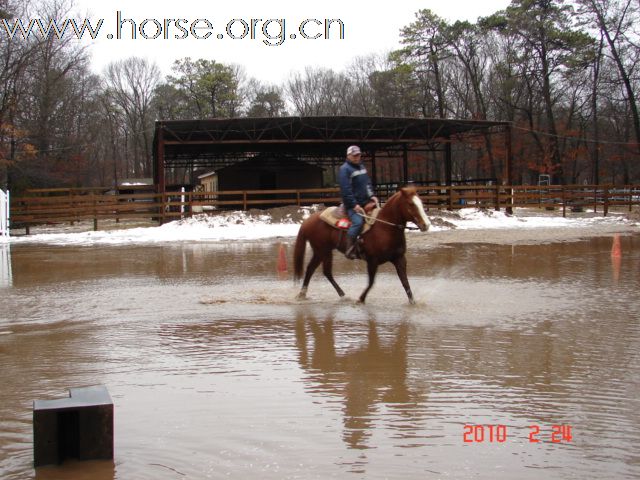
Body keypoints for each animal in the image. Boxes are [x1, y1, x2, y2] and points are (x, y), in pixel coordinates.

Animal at [294, 187, 430, 304]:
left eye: (421, 202)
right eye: (411, 204)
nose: (426, 225)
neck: (385, 228)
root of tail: (307, 221)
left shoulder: (399, 259)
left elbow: (405, 282)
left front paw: (413, 303)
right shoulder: (372, 261)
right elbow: (371, 282)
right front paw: (360, 299)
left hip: (322, 252)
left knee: (315, 270)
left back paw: (307, 294)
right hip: (323, 251)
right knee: (322, 271)